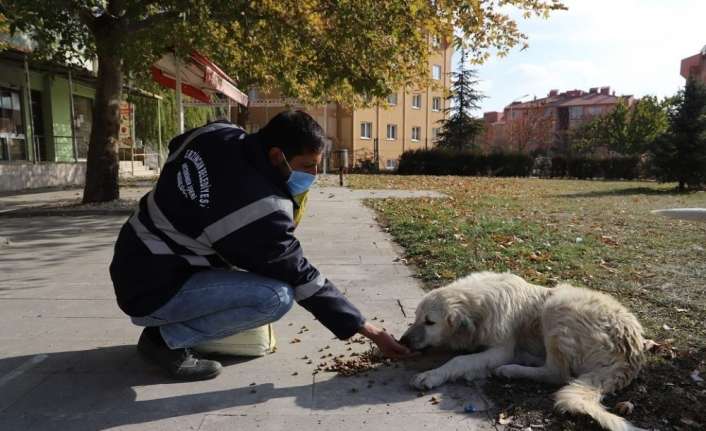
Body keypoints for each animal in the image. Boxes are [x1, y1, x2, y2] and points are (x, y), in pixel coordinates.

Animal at [402, 274, 644, 431]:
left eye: (430, 322)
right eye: (416, 317)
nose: (403, 341)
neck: (478, 302)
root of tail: (631, 351)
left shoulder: (500, 350)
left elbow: (459, 361)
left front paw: (431, 375)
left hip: (556, 306)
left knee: (556, 373)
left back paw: (510, 369)